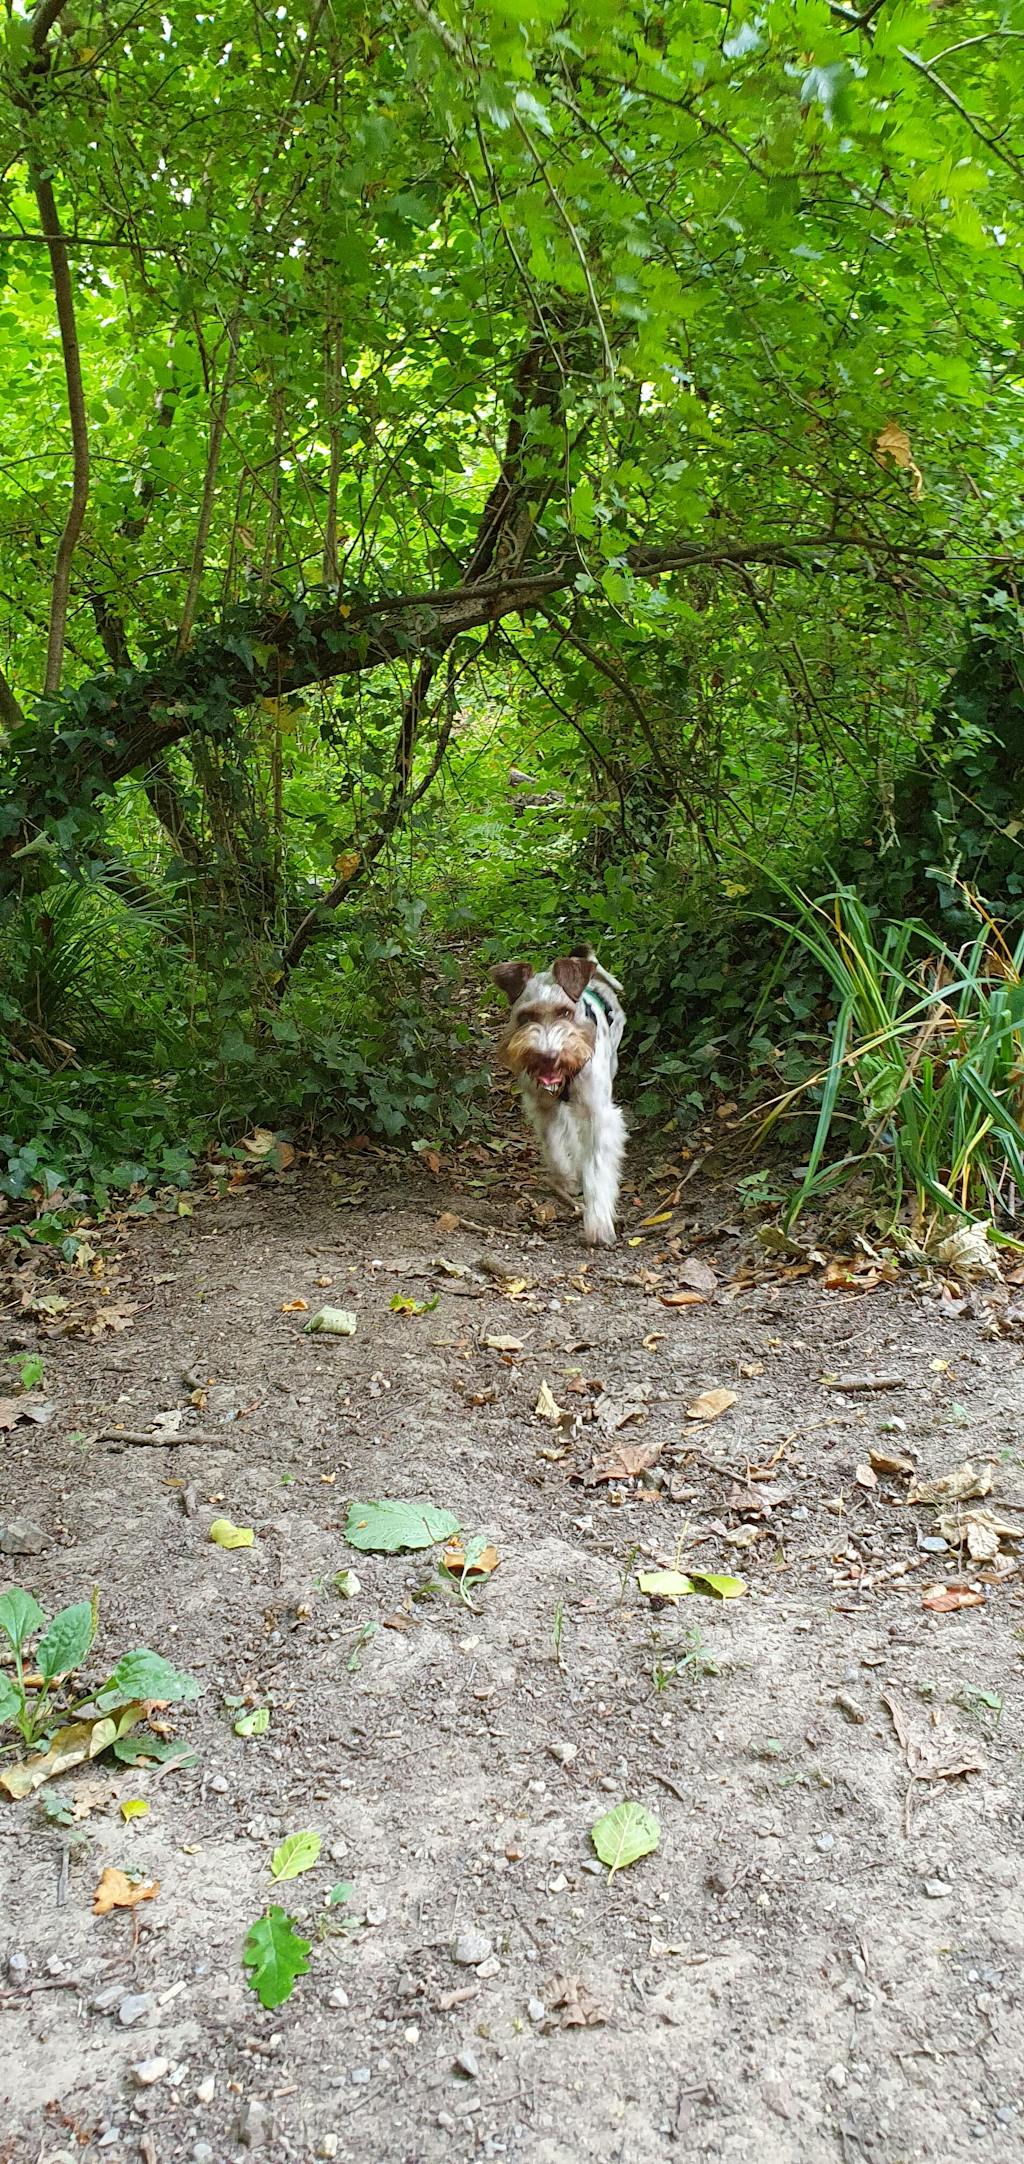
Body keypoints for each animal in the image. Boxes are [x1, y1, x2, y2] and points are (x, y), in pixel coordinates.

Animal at [491, 945, 626, 1245]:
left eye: (565, 1012)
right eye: (526, 1016)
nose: (548, 1057)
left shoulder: (598, 1113)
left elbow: (597, 1167)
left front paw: (598, 1223)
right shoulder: (543, 1107)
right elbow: (554, 1146)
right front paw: (568, 1179)